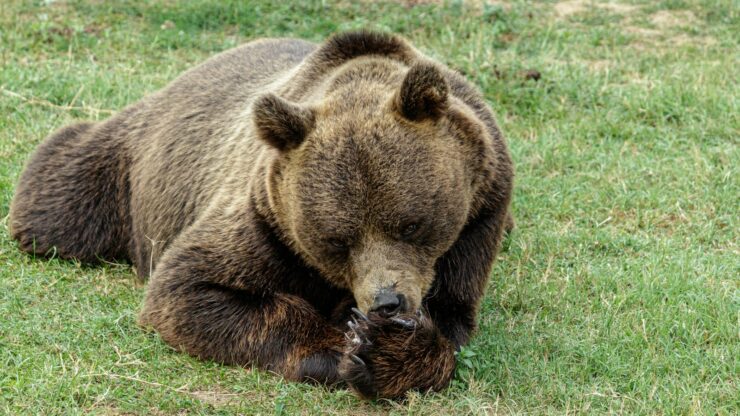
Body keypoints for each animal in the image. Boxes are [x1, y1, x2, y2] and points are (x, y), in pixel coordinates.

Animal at [9, 31, 514, 399]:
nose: (386, 302)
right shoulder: (265, 220)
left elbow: (451, 315)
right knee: (59, 199)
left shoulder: (479, 216)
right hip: (125, 167)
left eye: (411, 223)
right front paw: (354, 345)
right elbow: (190, 291)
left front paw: (389, 348)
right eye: (337, 240)